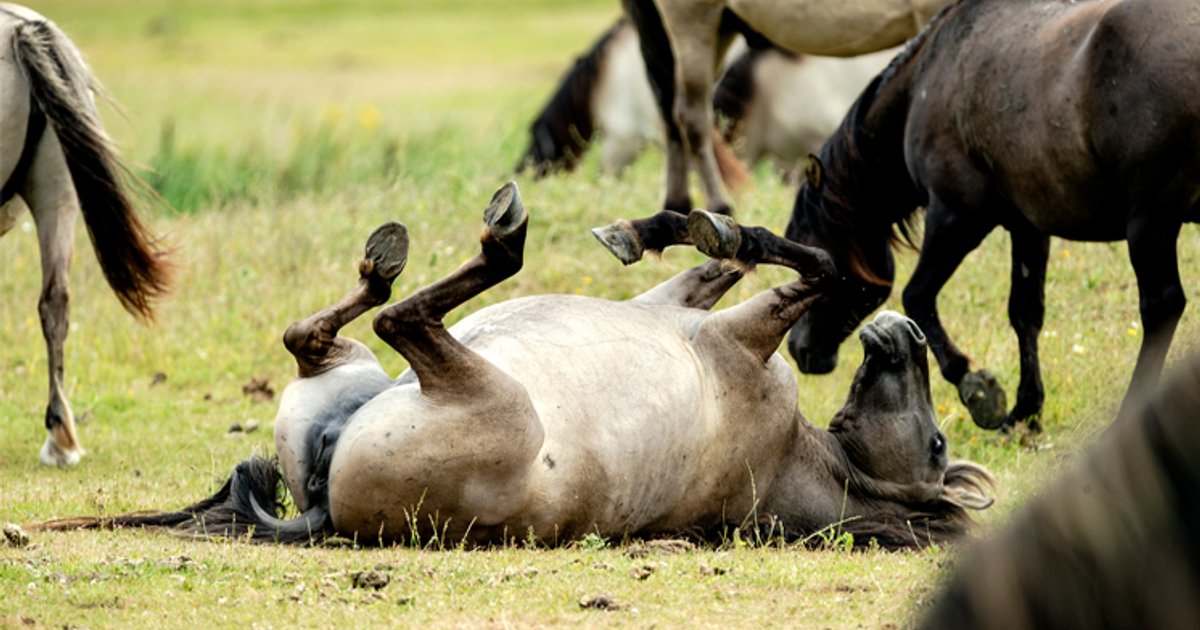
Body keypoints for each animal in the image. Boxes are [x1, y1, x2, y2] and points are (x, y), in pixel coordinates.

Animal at [37, 183, 993, 548]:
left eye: (938, 448)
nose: (904, 333)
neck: (794, 453)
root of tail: (321, 508)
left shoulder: (739, 335)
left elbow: (820, 266)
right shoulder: (686, 308)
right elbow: (743, 253)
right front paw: (657, 226)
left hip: (480, 390)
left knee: (403, 318)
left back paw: (478, 245)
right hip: (350, 372)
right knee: (319, 333)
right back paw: (389, 259)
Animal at [622, 0, 951, 215]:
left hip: (716, 27)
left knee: (670, 110)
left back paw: (677, 207)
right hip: (693, 19)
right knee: (690, 115)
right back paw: (719, 207)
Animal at [784, 0, 1200, 432]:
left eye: (809, 251)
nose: (798, 349)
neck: (927, 81)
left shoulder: (956, 217)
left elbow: (918, 297)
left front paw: (980, 392)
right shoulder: (1028, 226)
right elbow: (1025, 313)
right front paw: (1025, 411)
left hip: (1151, 221)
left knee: (1161, 306)